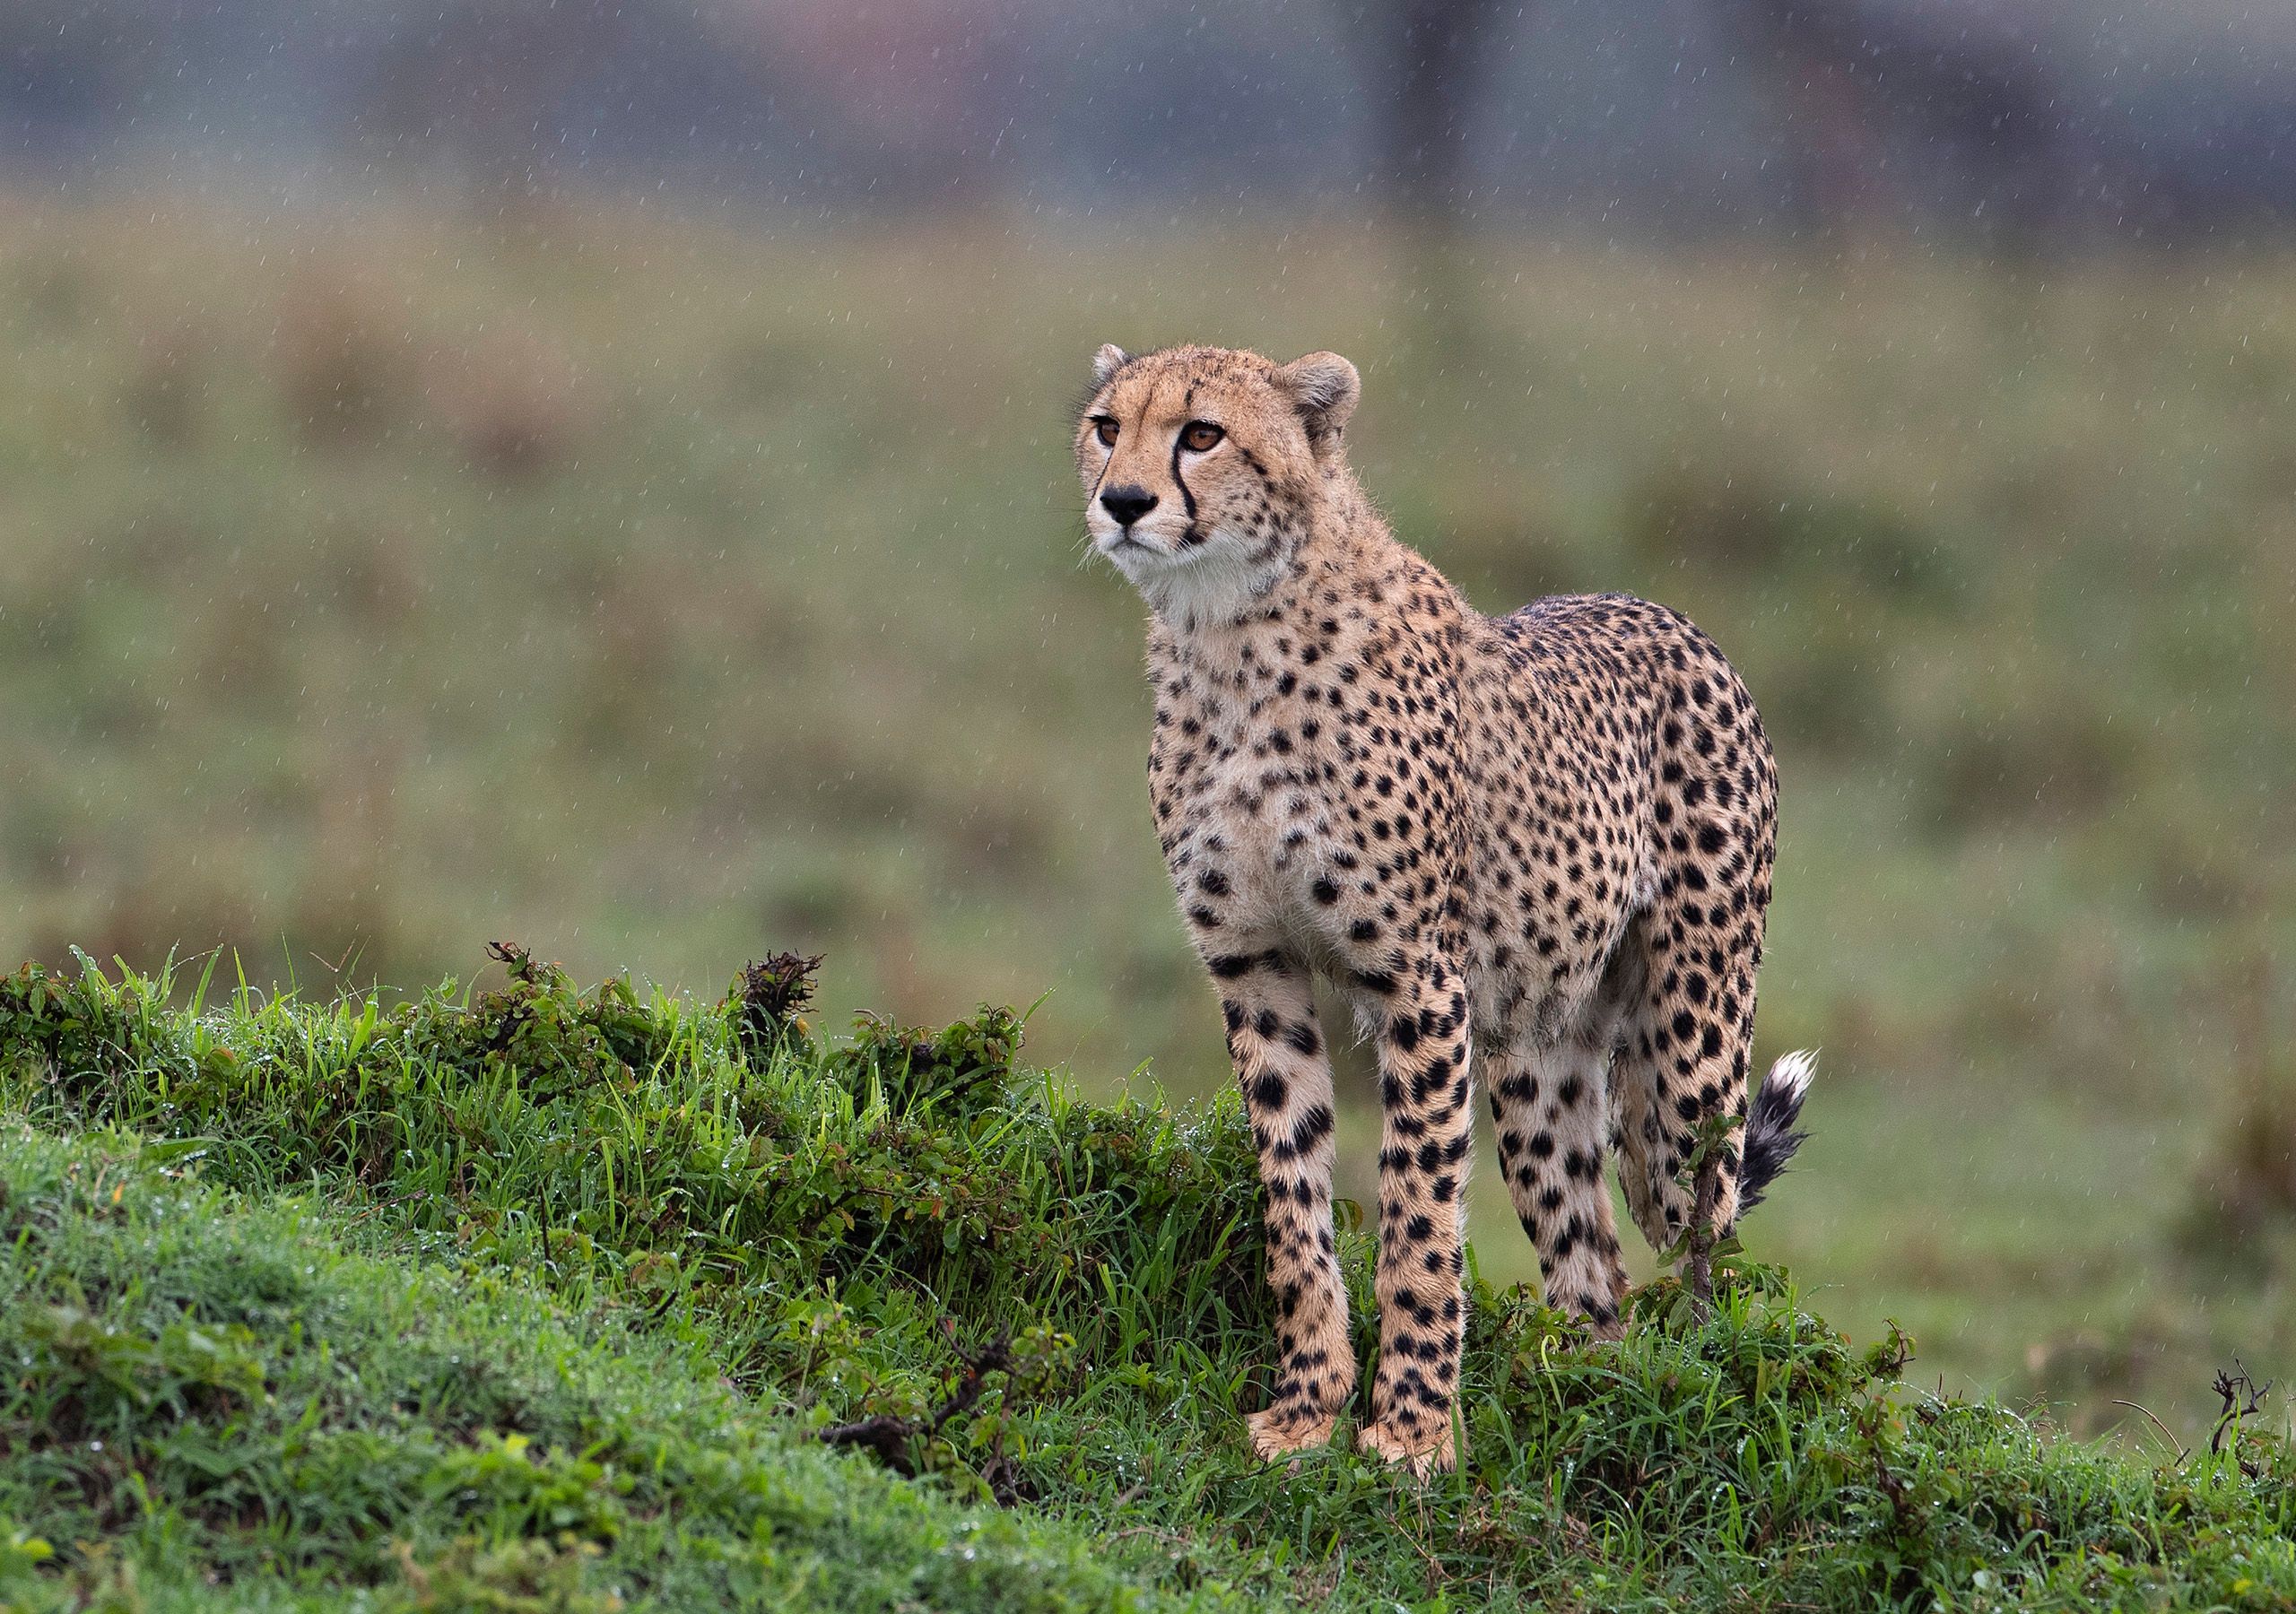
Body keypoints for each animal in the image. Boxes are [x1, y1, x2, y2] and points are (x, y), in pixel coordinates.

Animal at [1074, 341, 1813, 1475]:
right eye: (1108, 426)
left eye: (1201, 434)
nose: (1121, 500)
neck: (1228, 633)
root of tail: (1666, 614)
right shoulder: (1253, 969)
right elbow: (1292, 1202)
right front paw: (1305, 1409)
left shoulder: (1418, 981)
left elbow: (1417, 1218)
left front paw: (1412, 1435)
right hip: (1539, 1057)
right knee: (1591, 1261)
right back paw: (1585, 1397)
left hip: (1693, 1050)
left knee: (1705, 1233)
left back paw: (1705, 1396)